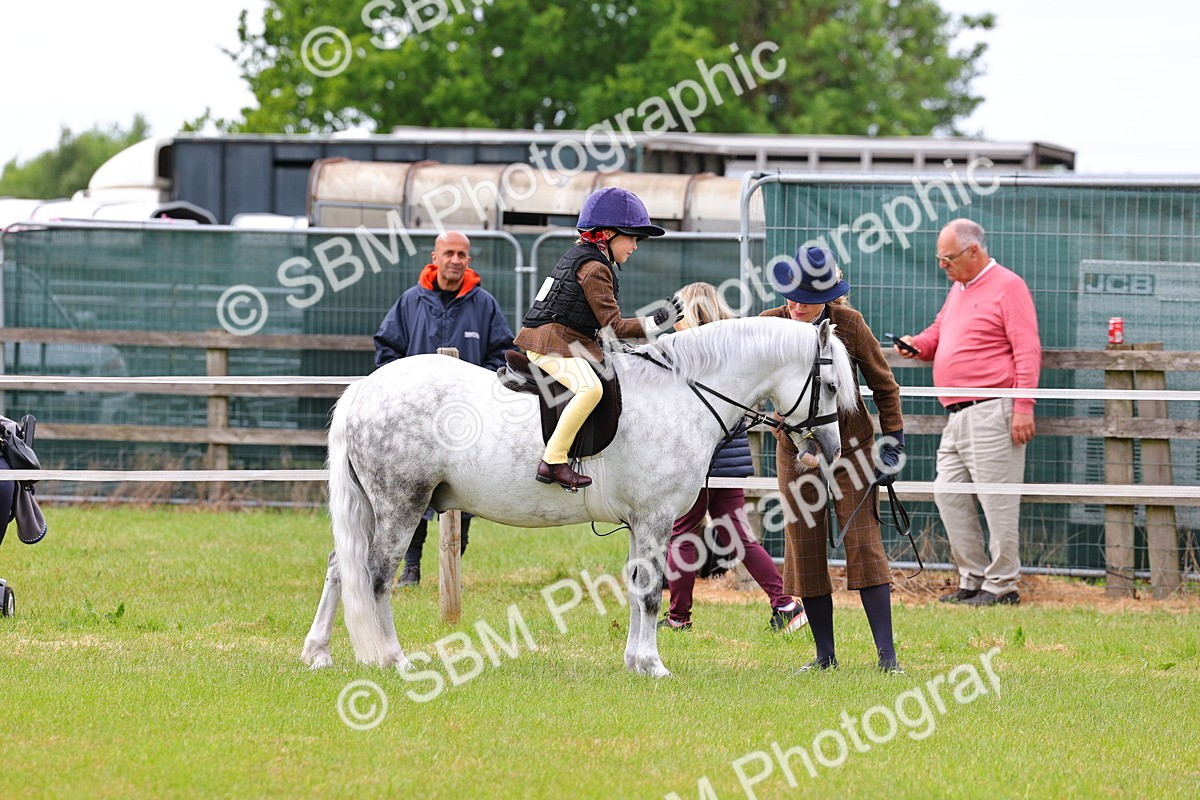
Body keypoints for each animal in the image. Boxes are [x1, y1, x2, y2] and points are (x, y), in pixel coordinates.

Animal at [301, 316, 860, 678]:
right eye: (833, 385)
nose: (831, 450)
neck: (682, 392)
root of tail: (364, 389)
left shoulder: (642, 523)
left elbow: (637, 586)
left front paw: (635, 662)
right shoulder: (656, 518)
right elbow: (653, 591)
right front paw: (654, 665)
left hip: (372, 507)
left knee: (340, 567)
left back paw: (318, 653)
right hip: (401, 505)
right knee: (375, 576)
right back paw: (392, 659)